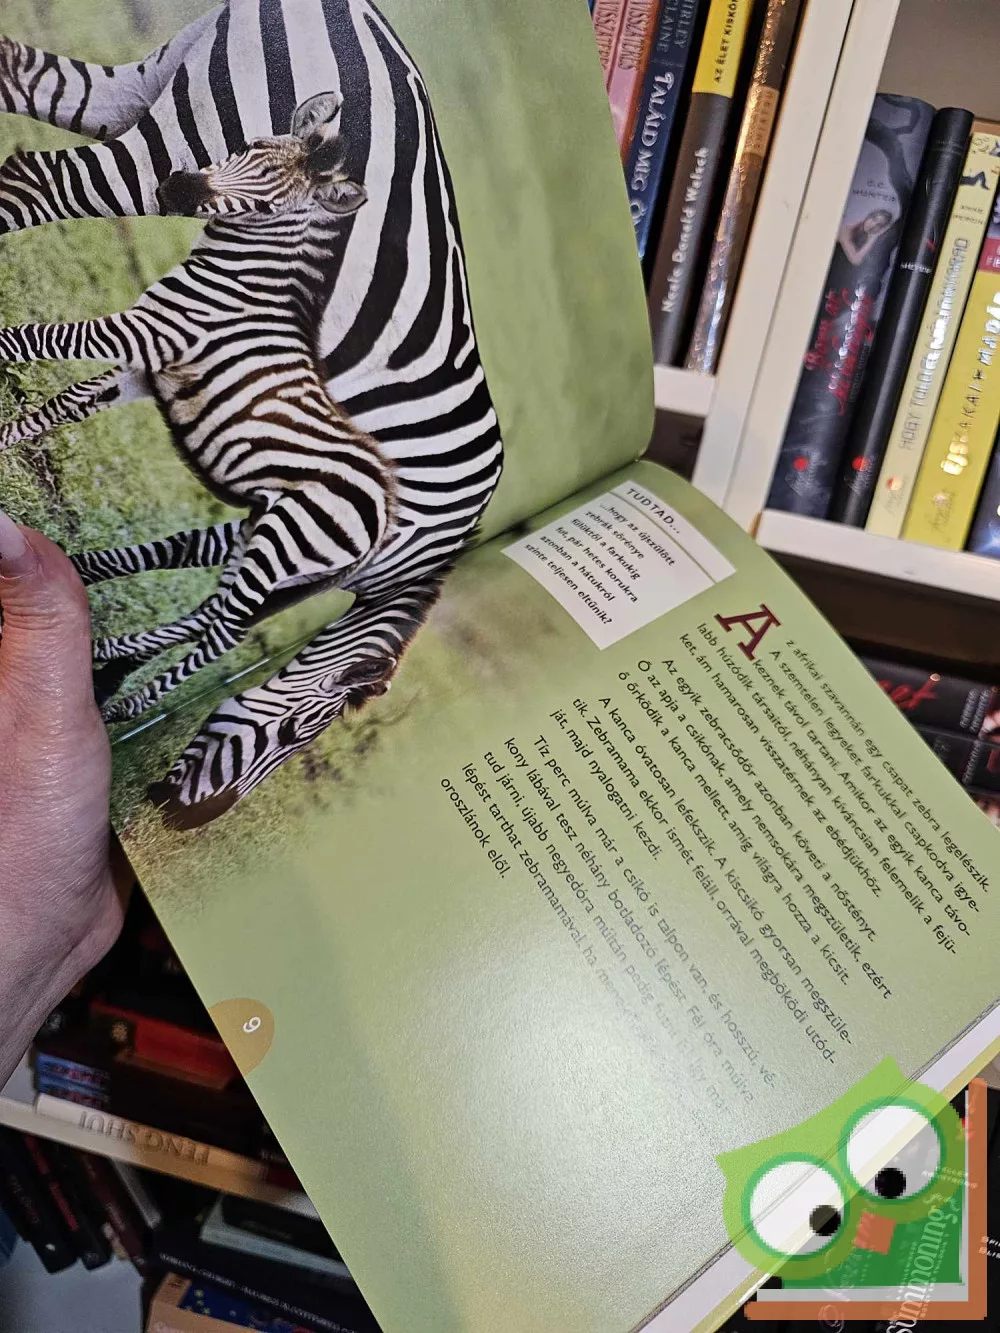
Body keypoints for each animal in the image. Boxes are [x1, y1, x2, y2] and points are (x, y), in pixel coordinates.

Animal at [0, 0, 505, 825]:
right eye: (295, 733)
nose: (188, 815)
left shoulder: (276, 516)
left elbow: (183, 572)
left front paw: (102, 652)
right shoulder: (322, 550)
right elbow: (218, 619)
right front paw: (113, 682)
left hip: (146, 85)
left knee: (28, 87)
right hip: (178, 139)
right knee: (41, 180)